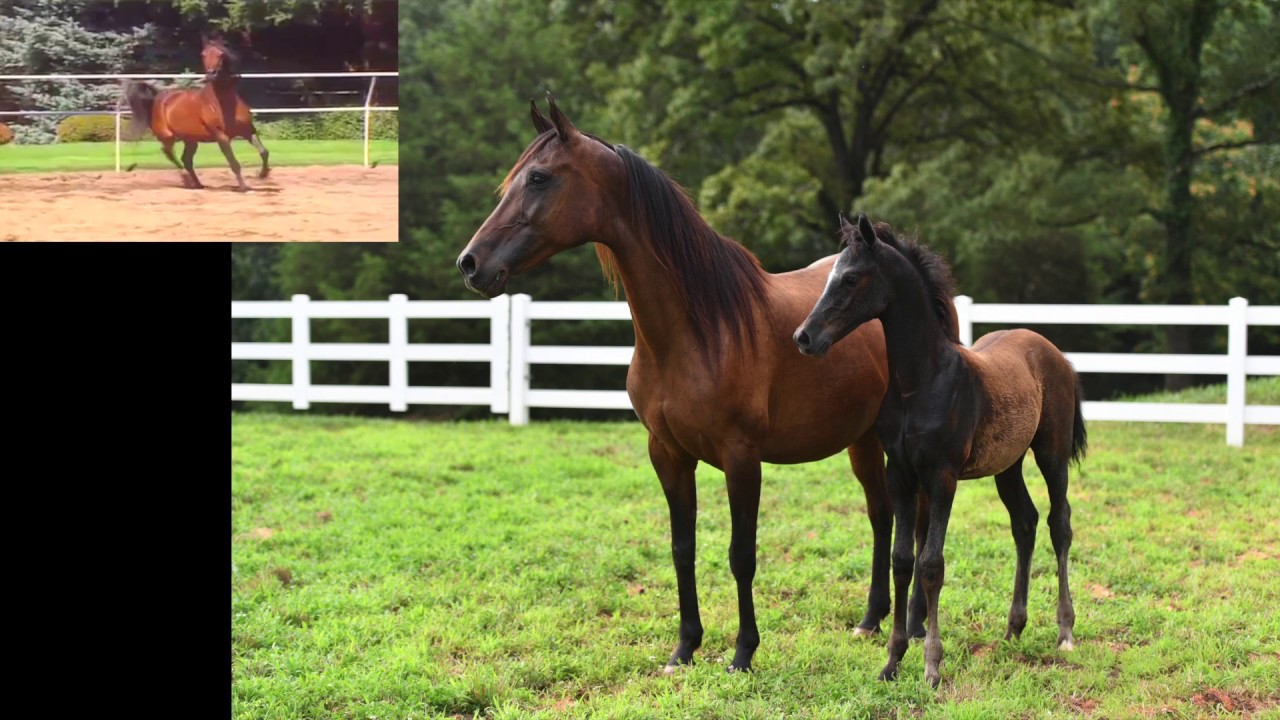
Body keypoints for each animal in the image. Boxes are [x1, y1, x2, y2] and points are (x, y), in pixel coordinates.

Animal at [124, 36, 269, 191]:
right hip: (167, 136)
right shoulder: (221, 136)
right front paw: (244, 187)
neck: (223, 103)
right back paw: (186, 179)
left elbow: (264, 152)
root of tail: (158, 97)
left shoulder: (248, 130)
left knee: (186, 160)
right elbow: (233, 163)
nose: (211, 73)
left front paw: (262, 174)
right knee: (169, 153)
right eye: (203, 54)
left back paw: (198, 184)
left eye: (221, 54)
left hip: (191, 140)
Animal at [456, 97, 931, 674]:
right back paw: (870, 619)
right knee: (880, 514)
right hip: (861, 439)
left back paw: (914, 624)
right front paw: (684, 648)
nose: (471, 263)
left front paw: (743, 652)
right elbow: (682, 548)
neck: (696, 331)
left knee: (914, 520)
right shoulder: (667, 452)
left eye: (539, 178)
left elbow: (741, 555)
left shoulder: (741, 457)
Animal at [793, 214, 1086, 687]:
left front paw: (931, 664)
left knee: (1059, 524)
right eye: (830, 276)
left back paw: (1064, 632)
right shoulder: (900, 474)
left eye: (851, 278)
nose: (803, 337)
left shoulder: (942, 476)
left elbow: (932, 564)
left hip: (1051, 453)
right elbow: (901, 560)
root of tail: (1052, 351)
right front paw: (892, 661)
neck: (922, 381)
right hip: (1007, 464)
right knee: (1024, 523)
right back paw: (1013, 628)